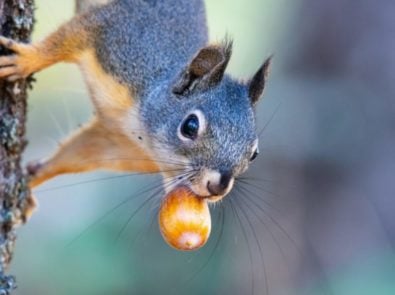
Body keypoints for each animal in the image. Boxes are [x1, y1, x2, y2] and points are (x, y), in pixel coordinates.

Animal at [0, 0, 272, 215]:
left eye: (255, 153)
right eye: (190, 126)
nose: (218, 186)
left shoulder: (115, 143)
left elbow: (74, 156)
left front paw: (30, 181)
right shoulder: (119, 35)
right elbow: (67, 38)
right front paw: (26, 60)